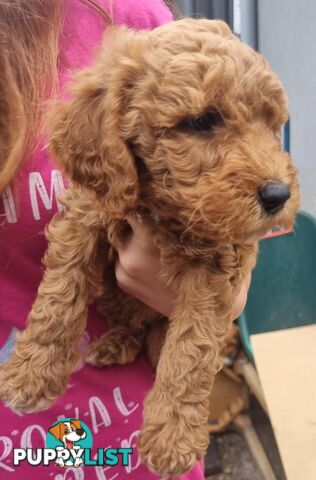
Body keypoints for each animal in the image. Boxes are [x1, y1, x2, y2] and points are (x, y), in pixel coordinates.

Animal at [0, 17, 298, 476]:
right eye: (202, 121)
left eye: (272, 125)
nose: (278, 195)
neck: (162, 210)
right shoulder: (86, 214)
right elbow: (58, 296)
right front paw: (31, 373)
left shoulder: (219, 265)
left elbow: (191, 348)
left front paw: (172, 433)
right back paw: (113, 344)